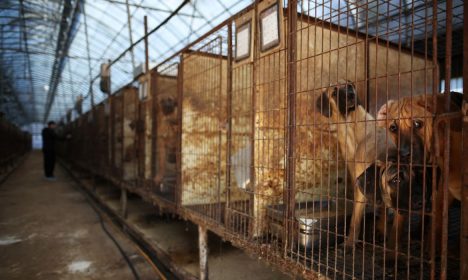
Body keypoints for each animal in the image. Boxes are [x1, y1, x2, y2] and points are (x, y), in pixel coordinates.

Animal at [376, 92, 464, 252]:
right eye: (393, 128)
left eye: (418, 124)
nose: (402, 154)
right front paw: (392, 244)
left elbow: (438, 213)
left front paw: (432, 245)